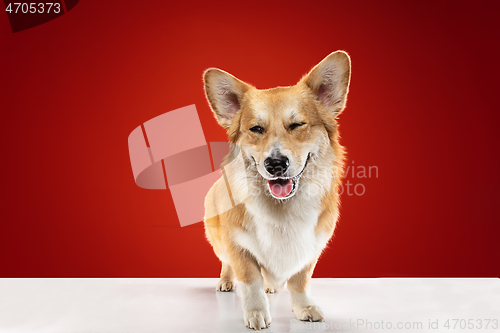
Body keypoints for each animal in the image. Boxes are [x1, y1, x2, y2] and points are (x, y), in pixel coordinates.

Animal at [203, 50, 352, 328]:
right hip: (218, 241)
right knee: (226, 263)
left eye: (297, 125)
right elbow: (250, 280)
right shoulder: (238, 245)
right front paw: (256, 313)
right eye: (256, 129)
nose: (275, 164)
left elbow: (299, 281)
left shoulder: (310, 248)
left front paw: (304, 308)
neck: (282, 208)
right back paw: (226, 282)